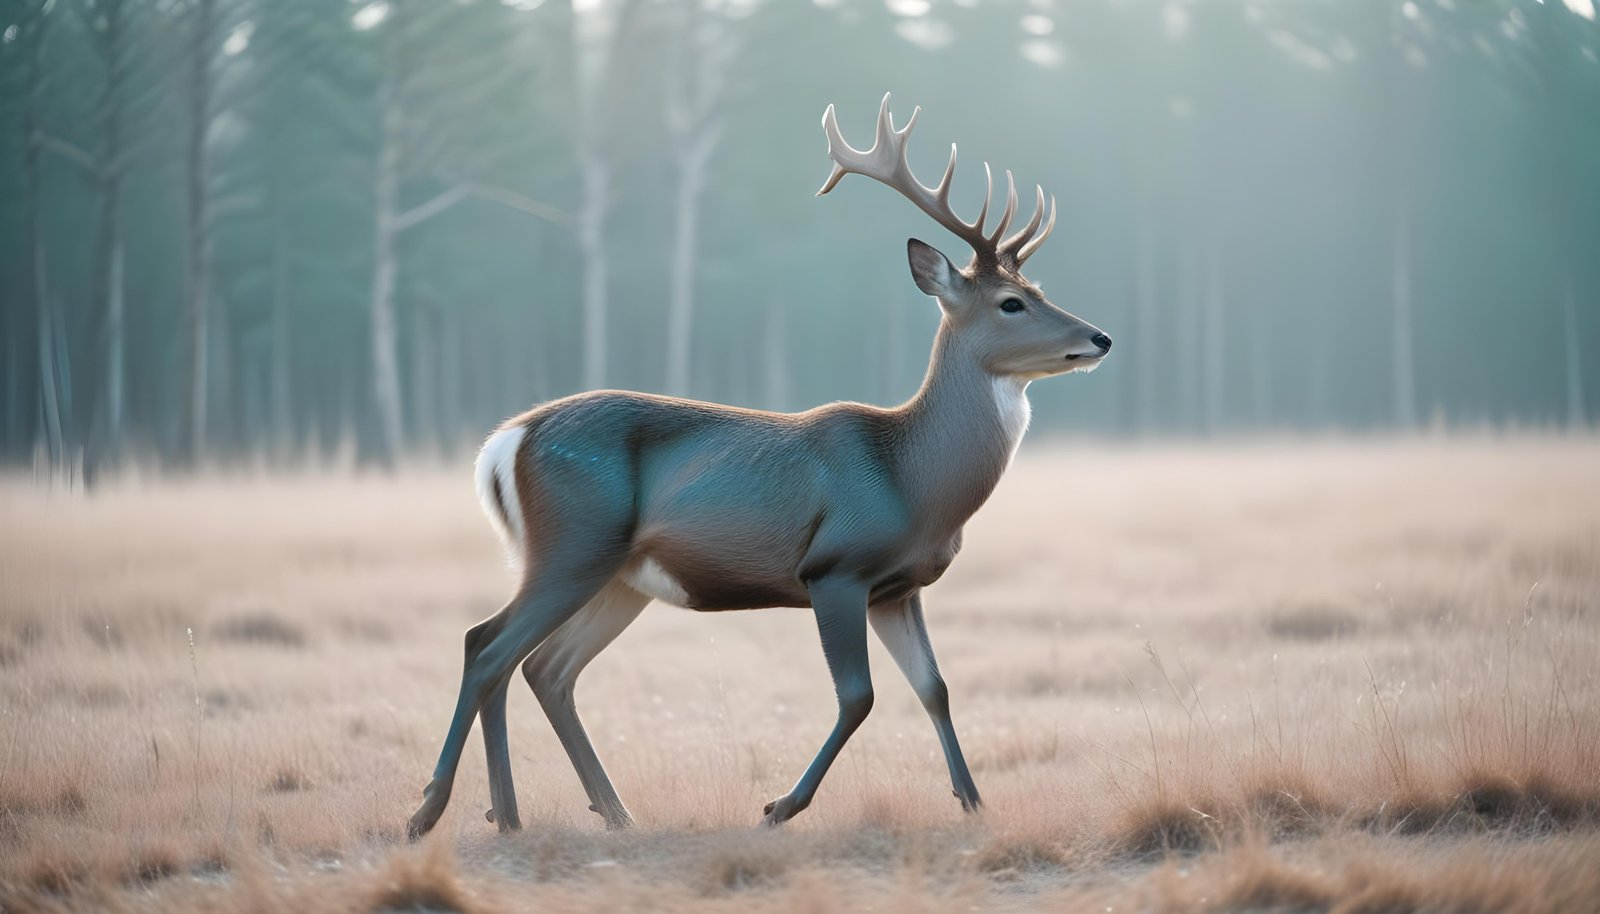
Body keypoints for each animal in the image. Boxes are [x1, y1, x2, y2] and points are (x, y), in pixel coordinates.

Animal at [406, 94, 1112, 839]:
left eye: (1037, 287)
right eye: (1011, 302)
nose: (1100, 338)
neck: (912, 479)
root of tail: (506, 441)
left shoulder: (898, 588)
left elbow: (935, 689)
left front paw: (975, 803)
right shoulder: (835, 567)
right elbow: (858, 697)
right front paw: (780, 807)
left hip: (618, 575)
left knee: (544, 668)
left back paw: (572, 814)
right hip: (571, 545)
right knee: (486, 645)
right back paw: (434, 811)